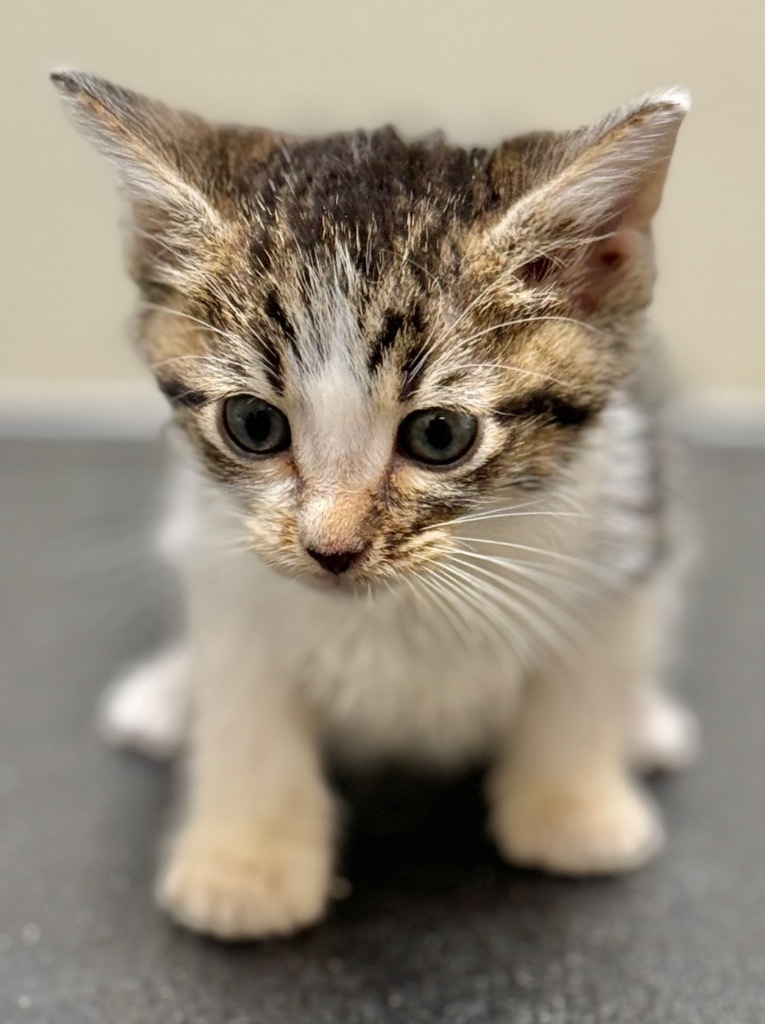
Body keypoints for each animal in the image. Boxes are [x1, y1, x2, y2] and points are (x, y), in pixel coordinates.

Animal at [53, 68, 700, 937]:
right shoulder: (221, 561)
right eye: (253, 424)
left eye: (438, 435)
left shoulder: (621, 515)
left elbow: (583, 678)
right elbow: (244, 705)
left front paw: (572, 814)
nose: (331, 548)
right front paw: (246, 865)